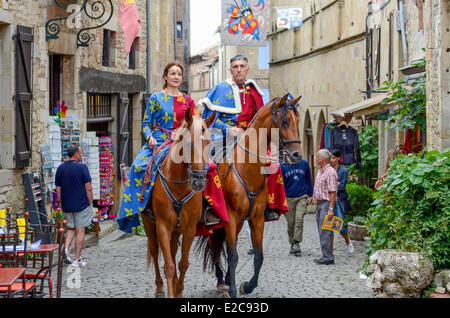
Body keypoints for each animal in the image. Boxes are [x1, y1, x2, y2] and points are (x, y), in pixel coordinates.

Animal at [142, 110, 216, 298]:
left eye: (209, 142)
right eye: (189, 143)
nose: (199, 181)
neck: (179, 186)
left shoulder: (189, 228)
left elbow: (183, 263)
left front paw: (178, 291)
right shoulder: (162, 226)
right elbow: (168, 265)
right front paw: (169, 290)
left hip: (177, 228)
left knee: (174, 250)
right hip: (148, 223)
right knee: (154, 251)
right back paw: (160, 288)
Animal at [197, 94, 302, 298]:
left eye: (297, 121)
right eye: (285, 121)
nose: (297, 155)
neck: (246, 169)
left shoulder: (256, 219)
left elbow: (259, 256)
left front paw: (247, 286)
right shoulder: (230, 217)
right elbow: (232, 256)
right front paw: (232, 289)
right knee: (215, 249)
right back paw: (221, 282)